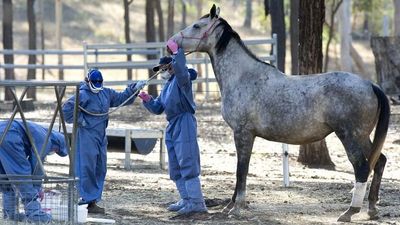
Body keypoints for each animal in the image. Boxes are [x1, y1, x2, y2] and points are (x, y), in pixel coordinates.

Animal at [170, 4, 390, 222]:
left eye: (197, 26)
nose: (170, 43)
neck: (243, 77)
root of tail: (370, 85)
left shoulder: (243, 133)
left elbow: (241, 170)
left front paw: (236, 208)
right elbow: (240, 170)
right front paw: (230, 206)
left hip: (349, 136)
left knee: (362, 167)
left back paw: (350, 211)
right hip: (362, 136)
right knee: (379, 161)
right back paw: (371, 208)